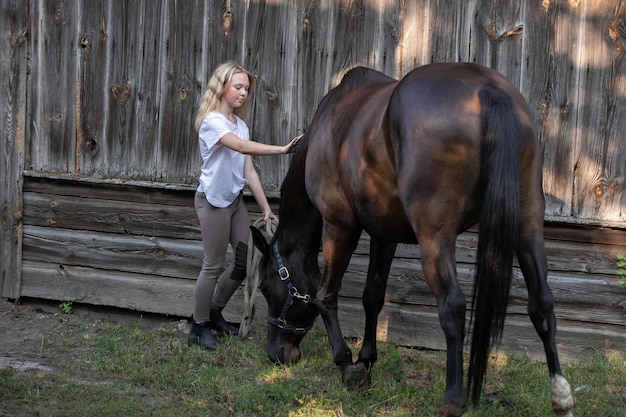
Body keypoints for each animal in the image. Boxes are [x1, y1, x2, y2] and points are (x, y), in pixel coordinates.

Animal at [251, 62, 572, 416]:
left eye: (265, 287)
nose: (276, 354)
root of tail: (488, 88)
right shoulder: (384, 234)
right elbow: (372, 296)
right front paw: (366, 359)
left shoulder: (339, 225)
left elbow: (326, 295)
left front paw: (347, 364)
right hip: (527, 227)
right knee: (542, 304)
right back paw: (561, 397)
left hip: (435, 236)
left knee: (452, 306)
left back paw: (453, 400)